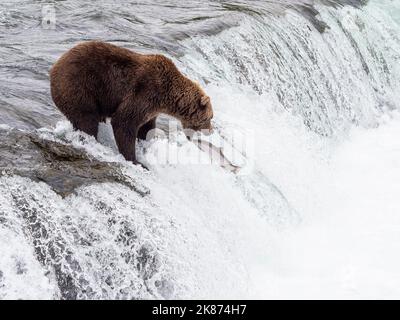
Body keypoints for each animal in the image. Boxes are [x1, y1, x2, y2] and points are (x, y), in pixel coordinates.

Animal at [49, 40, 212, 165]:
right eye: (210, 117)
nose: (211, 130)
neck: (167, 97)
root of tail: (54, 67)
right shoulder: (145, 93)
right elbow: (124, 122)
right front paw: (135, 160)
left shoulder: (152, 109)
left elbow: (146, 128)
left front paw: (146, 146)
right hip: (80, 86)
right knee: (86, 120)